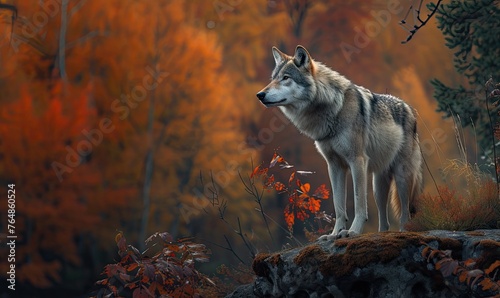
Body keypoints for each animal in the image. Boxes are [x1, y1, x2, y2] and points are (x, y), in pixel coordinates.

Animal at [256, 45, 424, 239]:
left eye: (286, 78)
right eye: (273, 78)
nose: (260, 95)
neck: (334, 108)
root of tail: (410, 109)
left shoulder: (357, 161)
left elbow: (359, 202)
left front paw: (353, 231)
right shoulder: (335, 166)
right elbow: (338, 206)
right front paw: (335, 234)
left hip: (402, 177)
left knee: (405, 213)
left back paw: (404, 231)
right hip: (378, 186)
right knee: (385, 221)